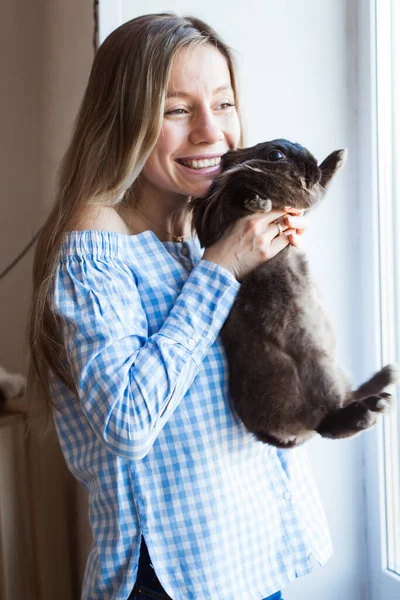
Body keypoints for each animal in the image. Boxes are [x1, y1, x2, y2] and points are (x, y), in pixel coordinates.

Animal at [192, 141, 398, 448]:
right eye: (275, 155)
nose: (309, 163)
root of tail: (268, 435)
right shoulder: (226, 209)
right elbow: (237, 192)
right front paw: (257, 202)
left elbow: (321, 185)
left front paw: (338, 156)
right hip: (316, 373)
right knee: (327, 425)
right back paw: (369, 410)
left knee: (345, 401)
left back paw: (382, 390)